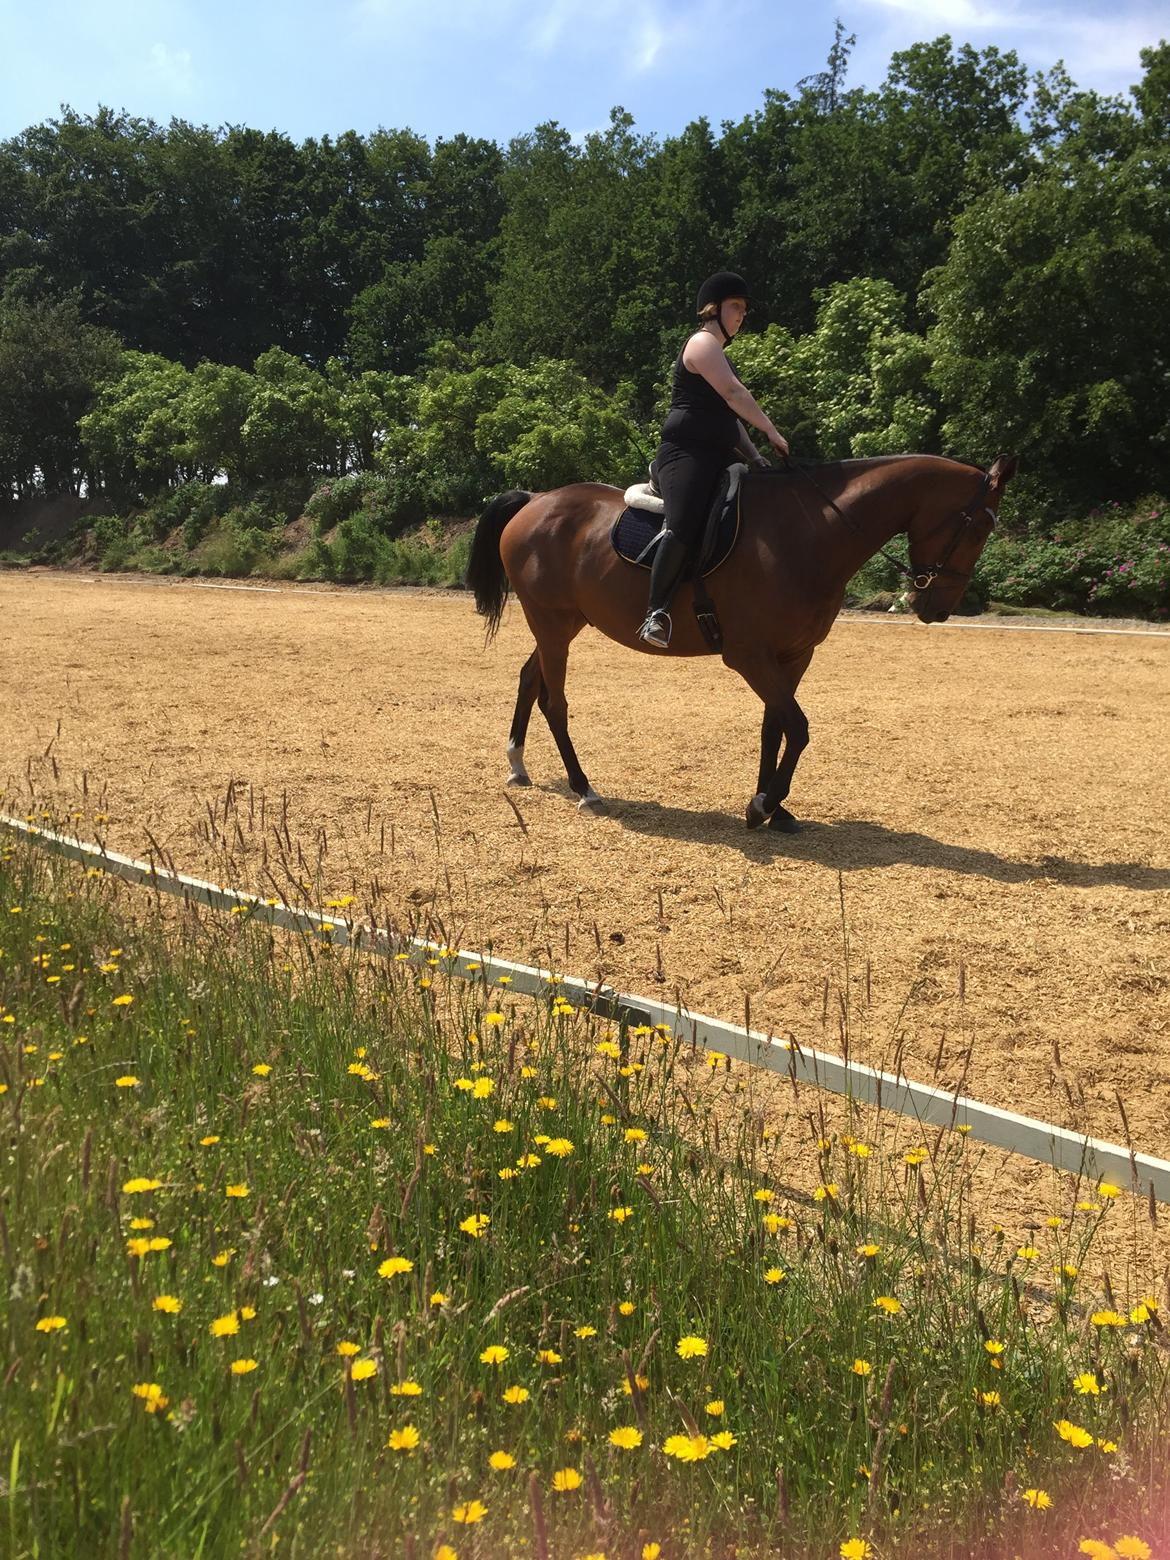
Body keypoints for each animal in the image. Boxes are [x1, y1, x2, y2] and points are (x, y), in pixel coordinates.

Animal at [464, 455, 1017, 829]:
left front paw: (776, 807)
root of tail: (536, 499)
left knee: (529, 678)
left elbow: (776, 726)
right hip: (553, 624)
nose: (937, 608)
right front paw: (762, 805)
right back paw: (584, 788)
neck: (811, 532)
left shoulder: (793, 655)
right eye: (978, 528)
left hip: (562, 624)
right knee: (554, 701)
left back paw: (517, 765)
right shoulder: (750, 657)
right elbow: (799, 728)